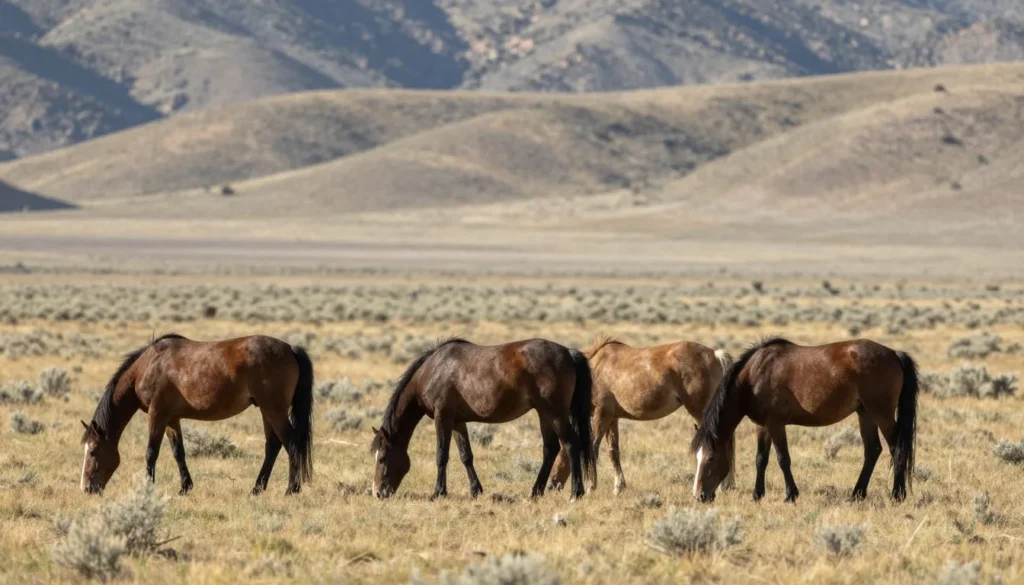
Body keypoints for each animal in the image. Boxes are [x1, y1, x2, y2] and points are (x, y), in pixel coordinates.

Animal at [80, 333, 314, 496]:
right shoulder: (171, 419)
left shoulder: (157, 416)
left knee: (291, 443)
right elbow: (178, 451)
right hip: (266, 410)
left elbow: (151, 453)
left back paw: (291, 489)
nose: (87, 488)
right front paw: (185, 487)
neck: (147, 367)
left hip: (274, 410)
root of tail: (290, 348)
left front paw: (148, 487)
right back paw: (257, 488)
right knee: (273, 446)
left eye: (93, 452)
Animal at [370, 337, 596, 500]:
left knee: (571, 443)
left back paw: (575, 493)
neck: (432, 370)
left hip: (554, 413)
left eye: (382, 458)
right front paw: (475, 490)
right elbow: (466, 455)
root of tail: (568, 352)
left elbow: (442, 455)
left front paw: (438, 492)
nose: (377, 493)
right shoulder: (457, 422)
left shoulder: (442, 418)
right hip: (543, 413)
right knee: (551, 449)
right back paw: (535, 492)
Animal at [549, 338, 735, 494]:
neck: (593, 371)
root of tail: (715, 355)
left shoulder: (602, 415)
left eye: (558, 454)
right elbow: (613, 451)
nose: (551, 485)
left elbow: (592, 447)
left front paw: (590, 486)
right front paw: (618, 487)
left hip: (701, 412)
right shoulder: (612, 419)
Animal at [691, 337, 918, 504]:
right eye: (697, 458)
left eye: (710, 458)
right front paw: (757, 495)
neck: (754, 377)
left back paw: (897, 495)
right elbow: (761, 459)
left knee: (896, 448)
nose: (699, 496)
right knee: (873, 450)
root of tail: (894, 353)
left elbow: (783, 458)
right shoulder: (762, 426)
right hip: (866, 414)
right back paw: (857, 494)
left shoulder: (776, 424)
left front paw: (790, 495)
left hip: (882, 414)